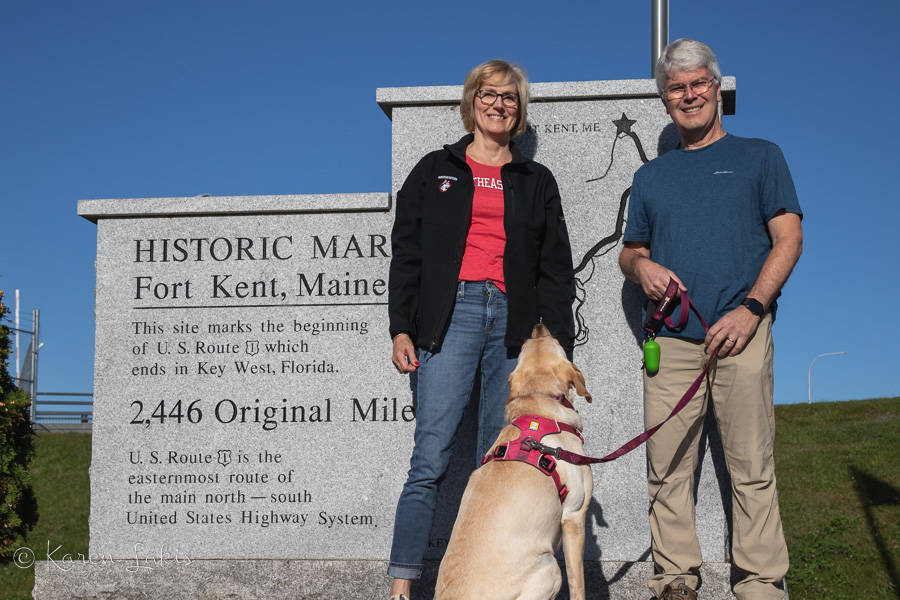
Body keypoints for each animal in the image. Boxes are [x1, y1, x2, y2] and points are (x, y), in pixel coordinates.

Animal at [434, 326, 592, 596]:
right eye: (555, 341)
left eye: (526, 344)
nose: (538, 326)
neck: (538, 399)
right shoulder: (574, 516)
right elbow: (578, 584)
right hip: (550, 567)